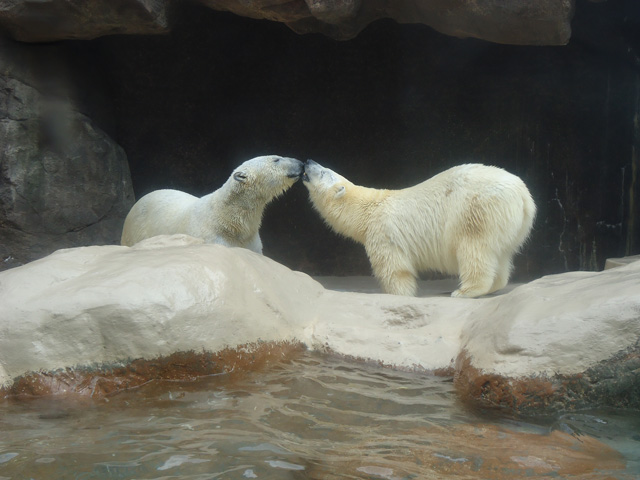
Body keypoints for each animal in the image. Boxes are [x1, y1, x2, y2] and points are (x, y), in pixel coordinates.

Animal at [302, 160, 536, 296]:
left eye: (324, 171)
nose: (308, 161)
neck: (369, 209)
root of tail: (523, 195)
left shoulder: (383, 234)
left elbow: (395, 271)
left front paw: (399, 296)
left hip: (477, 210)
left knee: (473, 248)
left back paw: (466, 291)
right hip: (508, 225)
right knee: (501, 255)